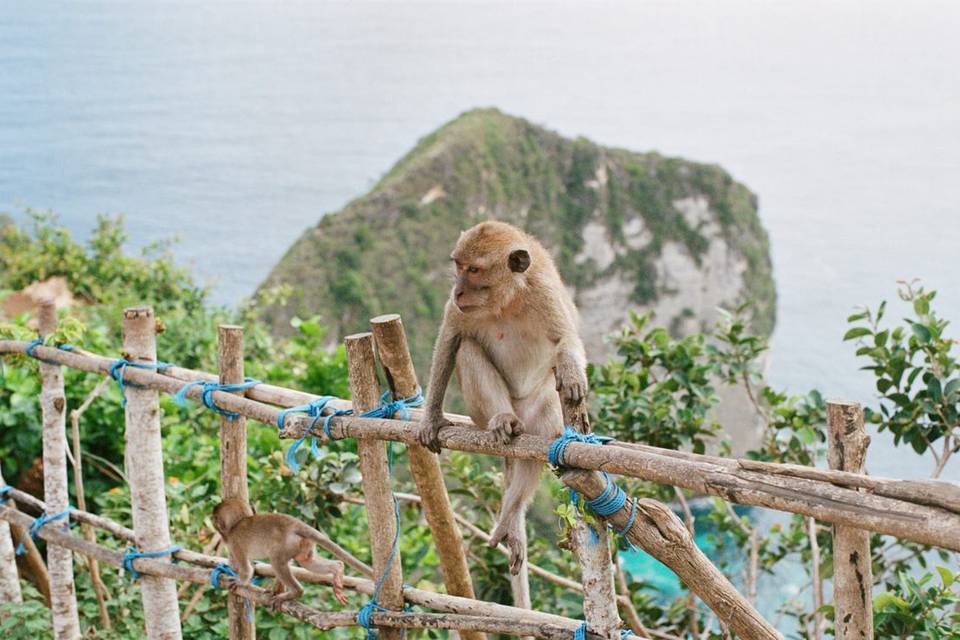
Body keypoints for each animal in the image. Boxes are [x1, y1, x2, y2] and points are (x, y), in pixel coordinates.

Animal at [212, 498, 362, 608]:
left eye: (215, 518)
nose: (213, 523)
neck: (235, 525)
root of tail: (296, 524)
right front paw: (275, 589)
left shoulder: (235, 544)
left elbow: (247, 569)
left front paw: (240, 581)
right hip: (303, 544)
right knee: (306, 561)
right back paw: (337, 569)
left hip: (288, 543)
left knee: (277, 562)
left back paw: (295, 592)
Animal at [416, 220, 588, 576]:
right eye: (458, 267)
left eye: (474, 269)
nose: (458, 291)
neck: (508, 299)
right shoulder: (458, 311)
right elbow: (450, 341)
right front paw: (432, 417)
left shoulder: (545, 293)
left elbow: (566, 339)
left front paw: (571, 372)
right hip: (482, 411)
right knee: (468, 350)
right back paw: (502, 421)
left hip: (535, 412)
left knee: (540, 435)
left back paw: (511, 513)